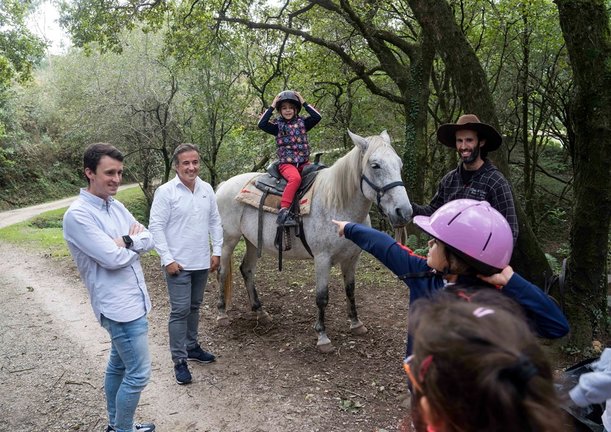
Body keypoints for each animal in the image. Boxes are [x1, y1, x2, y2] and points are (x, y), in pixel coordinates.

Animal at [215, 129, 412, 352]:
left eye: (399, 164)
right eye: (375, 165)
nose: (404, 212)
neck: (337, 204)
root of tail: (225, 184)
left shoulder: (352, 258)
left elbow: (350, 290)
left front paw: (356, 323)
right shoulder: (322, 259)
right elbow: (322, 297)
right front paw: (322, 336)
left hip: (252, 242)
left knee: (247, 270)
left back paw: (261, 312)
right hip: (228, 239)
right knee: (222, 272)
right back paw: (222, 314)